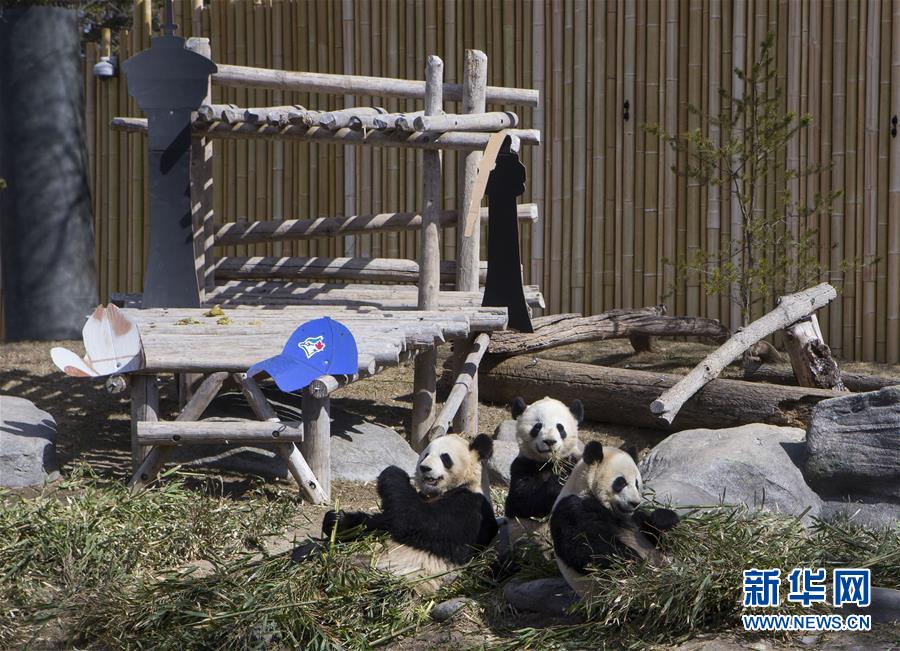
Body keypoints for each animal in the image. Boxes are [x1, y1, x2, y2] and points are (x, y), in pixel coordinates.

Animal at [320, 432, 500, 596]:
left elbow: (417, 522)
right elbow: (382, 521)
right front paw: (336, 520)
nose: (424, 468)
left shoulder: (469, 506)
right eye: (425, 454)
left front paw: (393, 471)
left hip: (407, 579)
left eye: (445, 457)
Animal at [548, 440, 684, 600]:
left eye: (637, 483)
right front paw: (635, 562)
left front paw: (663, 519)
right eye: (621, 482)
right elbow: (585, 548)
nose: (634, 503)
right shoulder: (572, 510)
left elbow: (659, 538)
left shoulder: (634, 518)